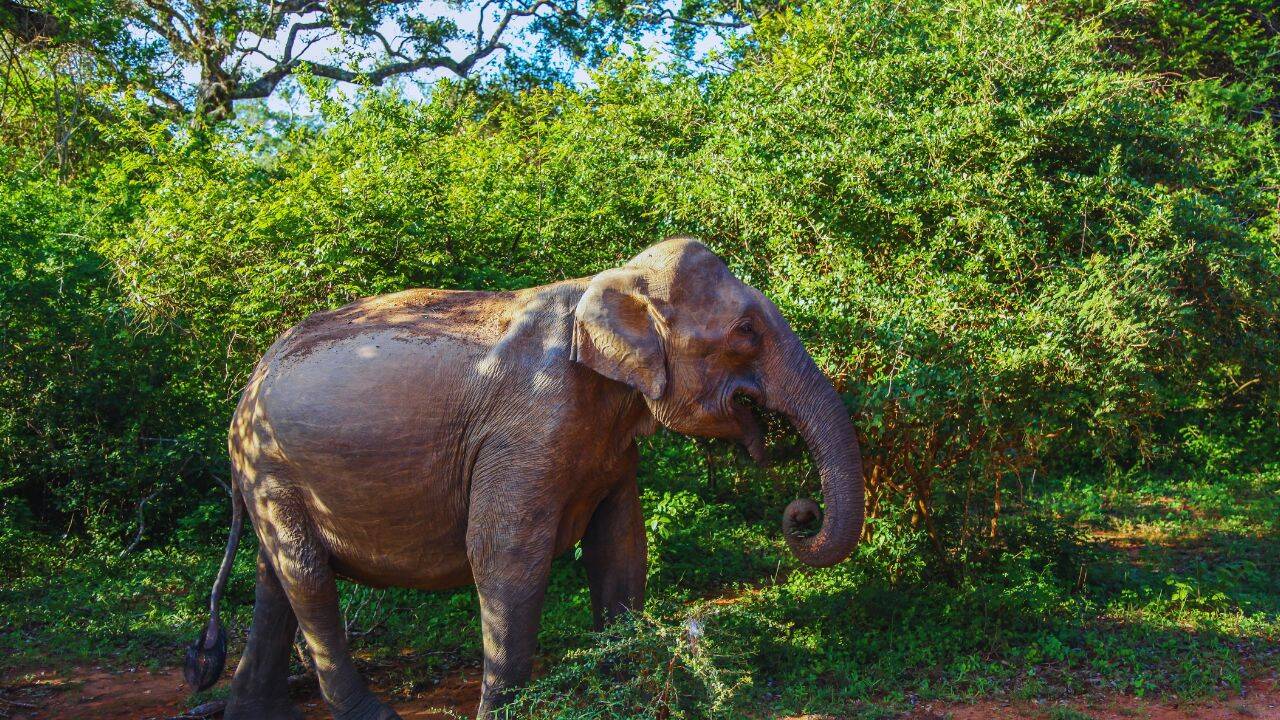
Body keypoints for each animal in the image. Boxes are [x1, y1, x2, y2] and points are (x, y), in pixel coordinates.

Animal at [184, 236, 864, 719]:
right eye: (745, 333)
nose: (800, 513)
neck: (605, 284)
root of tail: (247, 385)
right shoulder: (528, 425)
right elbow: (507, 553)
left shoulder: (609, 442)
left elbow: (620, 548)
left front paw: (623, 691)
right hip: (272, 469)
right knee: (307, 579)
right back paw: (370, 715)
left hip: (268, 475)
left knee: (277, 579)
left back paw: (252, 713)